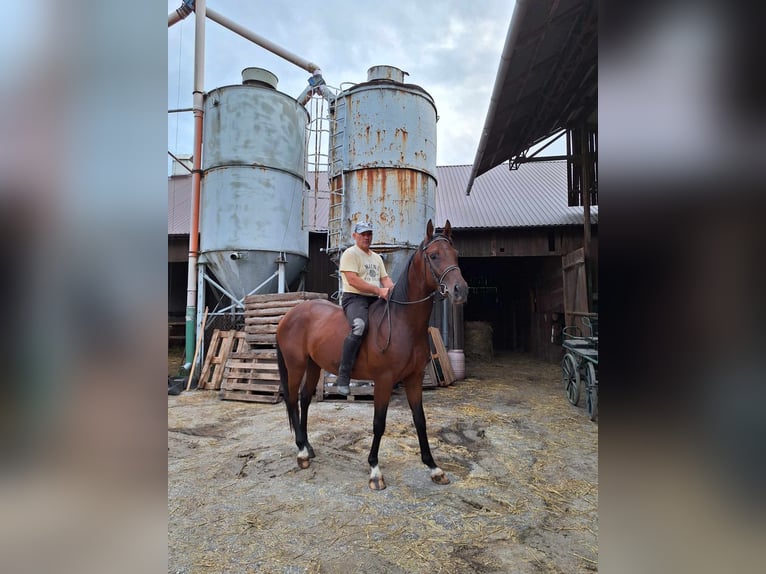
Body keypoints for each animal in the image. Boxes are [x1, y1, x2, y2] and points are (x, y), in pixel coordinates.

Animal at [276, 220, 468, 490]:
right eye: (433, 255)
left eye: (455, 254)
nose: (460, 290)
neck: (402, 322)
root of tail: (289, 315)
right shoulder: (384, 381)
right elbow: (379, 424)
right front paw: (375, 470)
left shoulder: (414, 379)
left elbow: (420, 420)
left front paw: (434, 467)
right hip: (296, 365)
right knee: (292, 399)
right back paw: (302, 453)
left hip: (313, 365)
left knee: (304, 399)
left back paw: (308, 447)